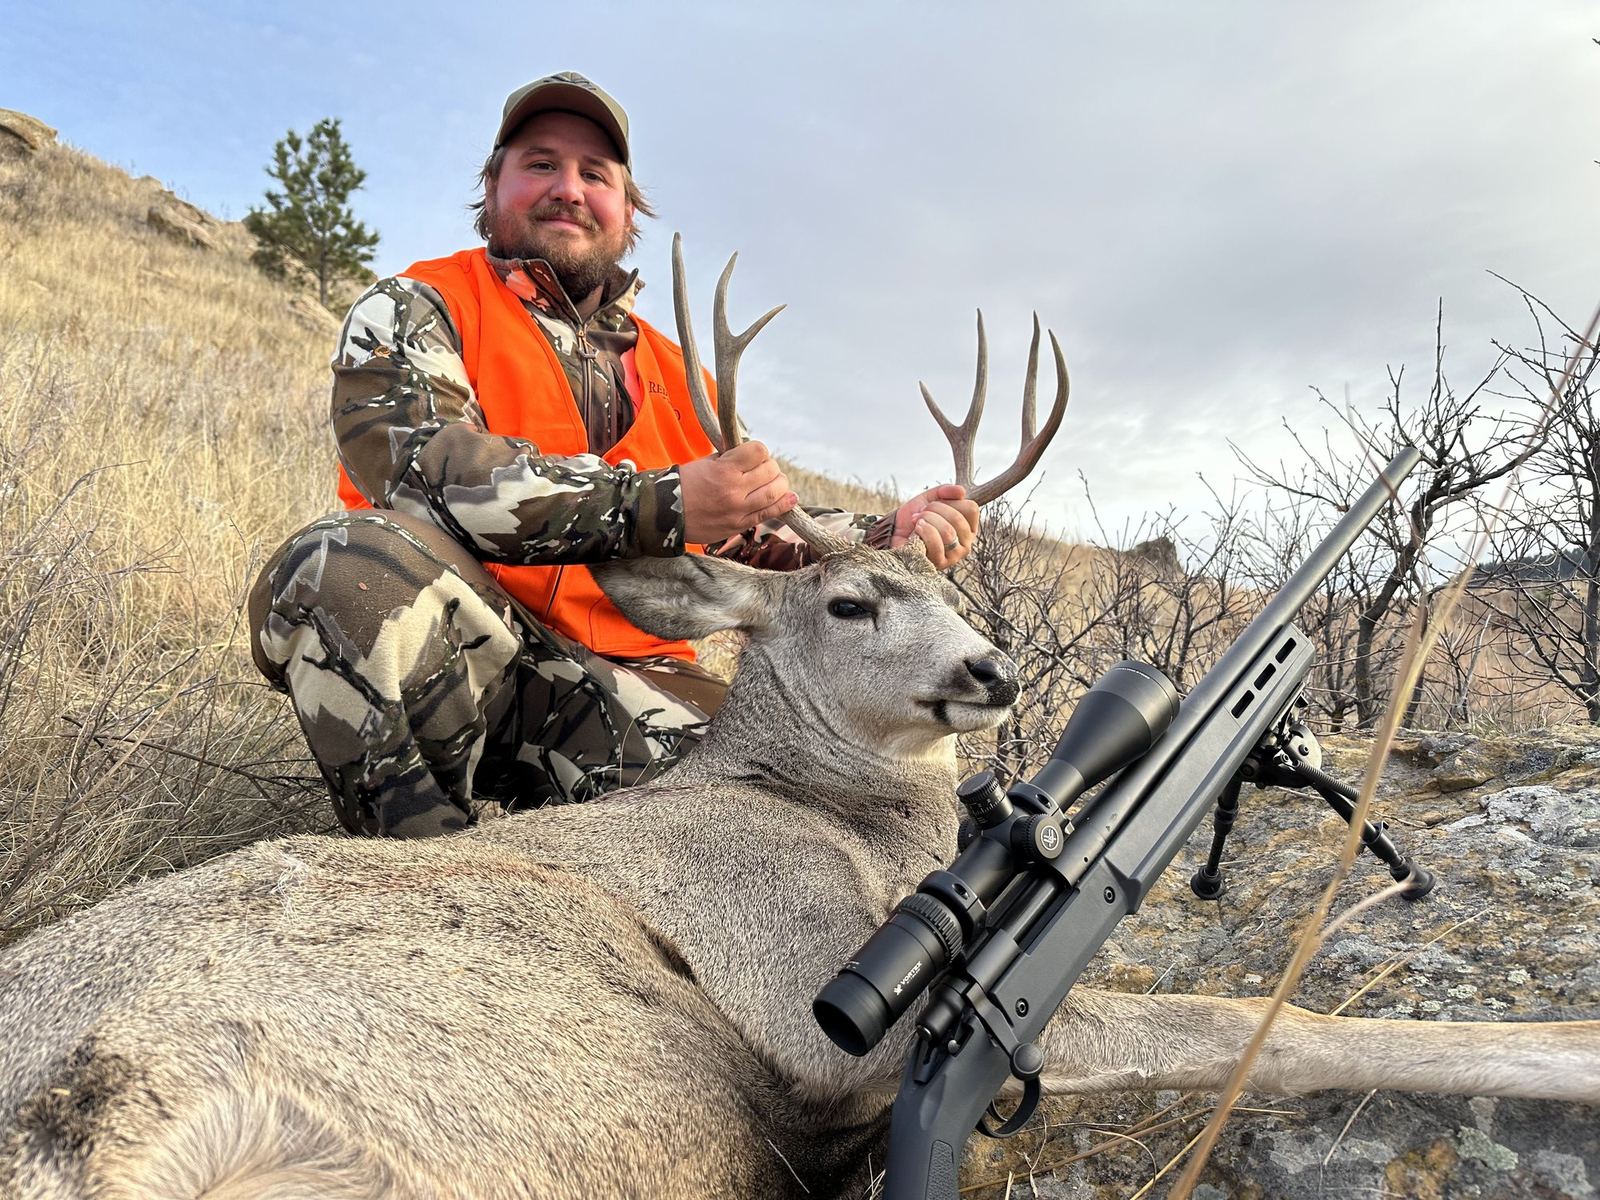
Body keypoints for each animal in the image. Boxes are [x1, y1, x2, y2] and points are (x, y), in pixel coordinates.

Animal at [1, 237, 1597, 1200]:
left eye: (960, 591)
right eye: (847, 603)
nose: (994, 673)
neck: (844, 822)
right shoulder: (811, 1000)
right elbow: (1241, 1016)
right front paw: (1567, 1050)